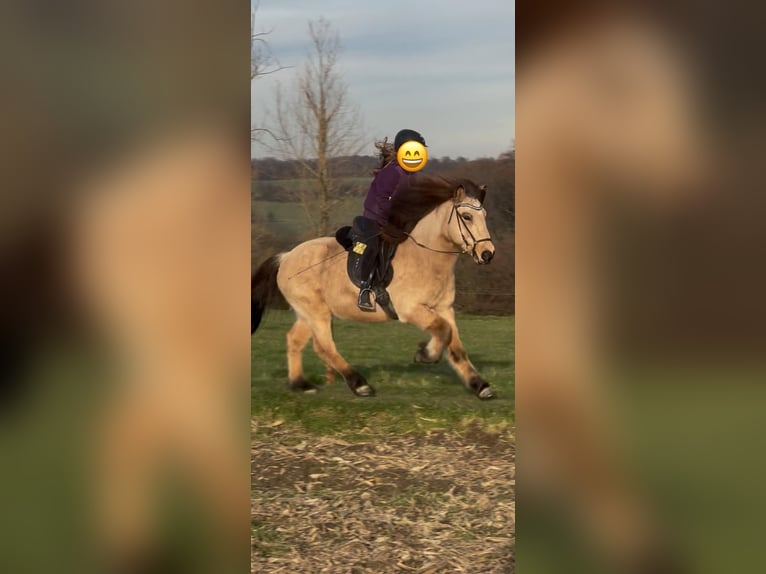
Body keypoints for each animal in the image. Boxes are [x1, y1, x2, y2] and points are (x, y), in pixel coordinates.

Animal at [251, 174, 498, 399]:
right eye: (466, 216)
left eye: (485, 216)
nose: (487, 254)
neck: (426, 259)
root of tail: (286, 257)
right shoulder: (411, 309)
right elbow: (444, 332)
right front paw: (424, 354)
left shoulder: (445, 309)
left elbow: (455, 346)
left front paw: (480, 386)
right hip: (316, 311)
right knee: (324, 346)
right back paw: (359, 384)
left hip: (307, 313)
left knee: (294, 339)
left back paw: (300, 384)